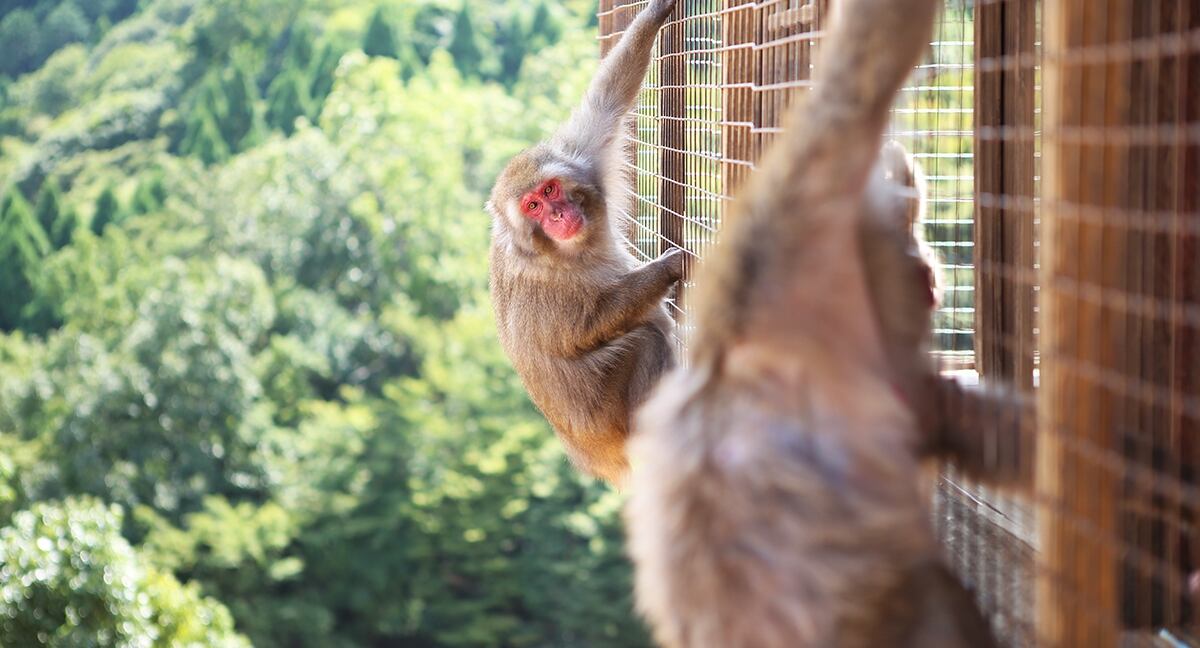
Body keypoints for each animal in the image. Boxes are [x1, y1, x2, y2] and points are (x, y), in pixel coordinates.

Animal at [487, 0, 681, 486]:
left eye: (551, 190)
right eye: (533, 207)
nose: (557, 215)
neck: (561, 250)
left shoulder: (581, 156)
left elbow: (608, 101)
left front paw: (658, 12)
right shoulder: (538, 286)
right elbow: (587, 325)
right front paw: (667, 270)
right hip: (613, 419)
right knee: (647, 340)